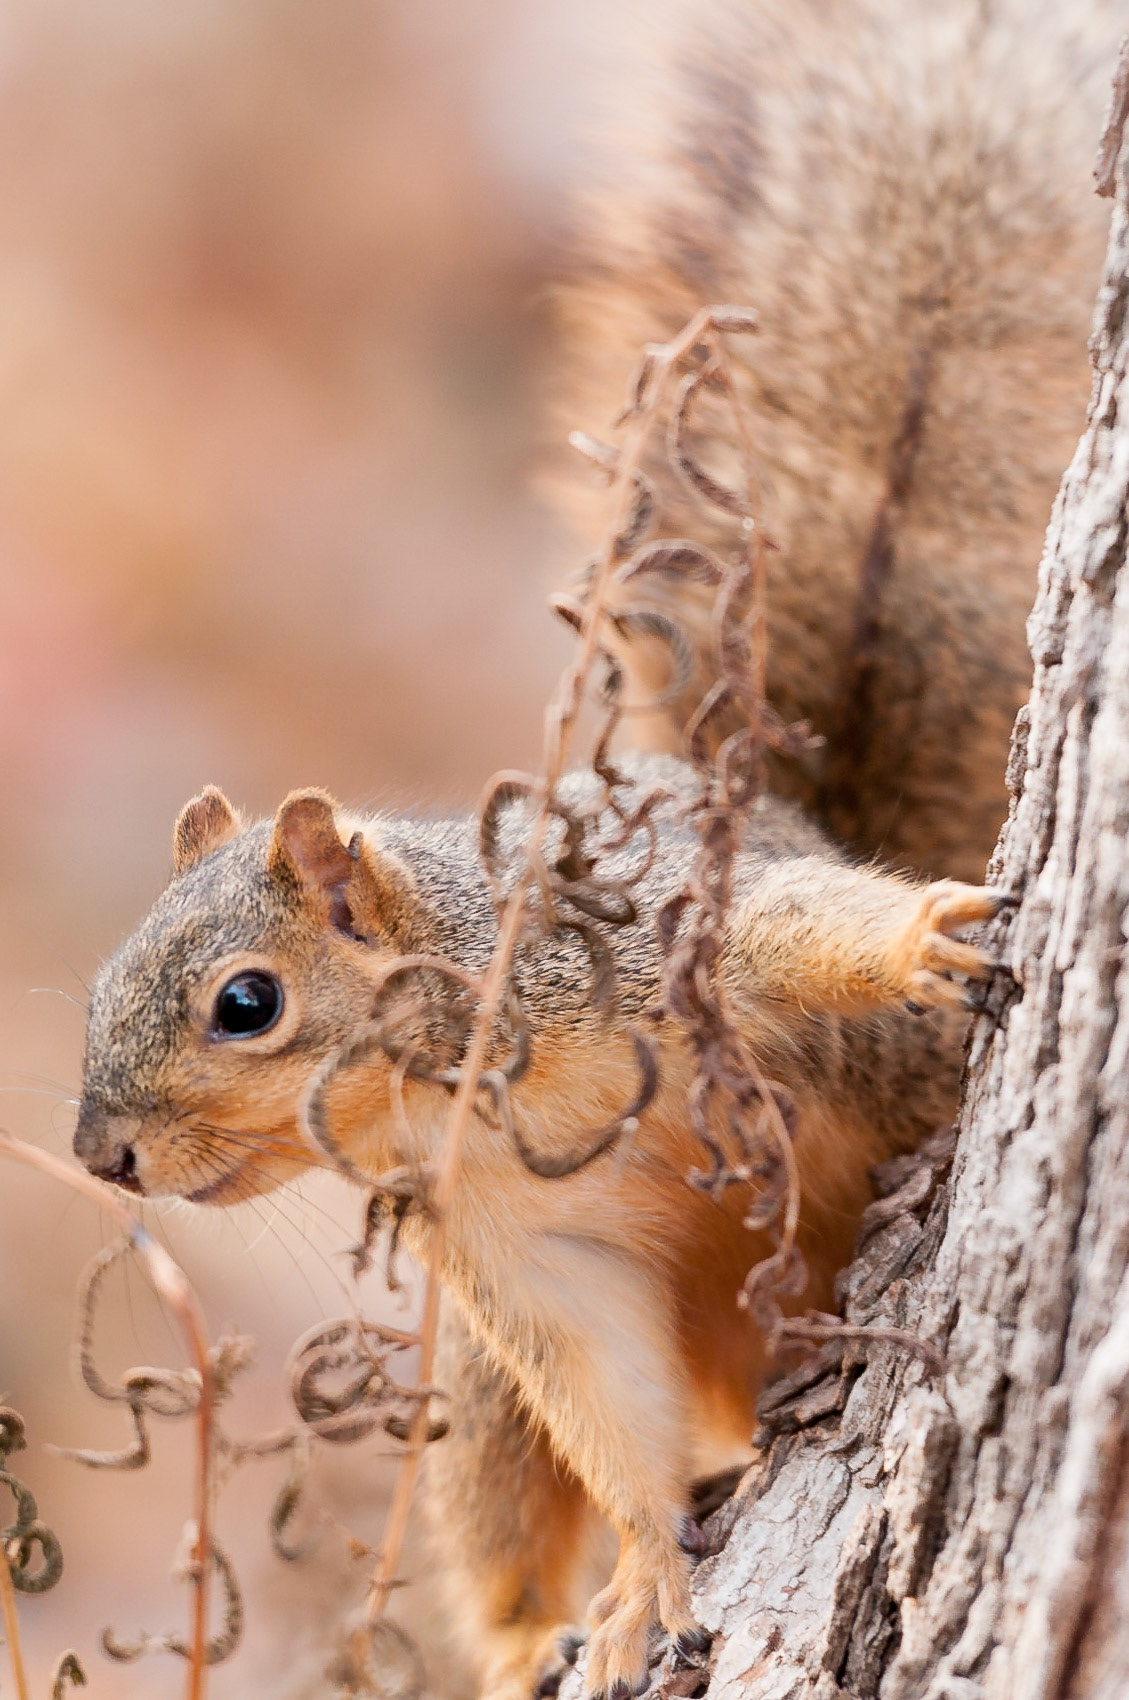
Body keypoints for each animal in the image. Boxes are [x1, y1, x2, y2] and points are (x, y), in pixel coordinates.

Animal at [70, 2, 1116, 1699]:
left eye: (246, 1004)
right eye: (101, 984)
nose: (101, 1154)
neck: (461, 1084)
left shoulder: (644, 944)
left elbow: (788, 933)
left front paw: (920, 938)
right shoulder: (522, 1259)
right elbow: (602, 1399)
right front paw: (641, 1581)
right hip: (486, 1407)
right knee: (519, 1495)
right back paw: (536, 1636)